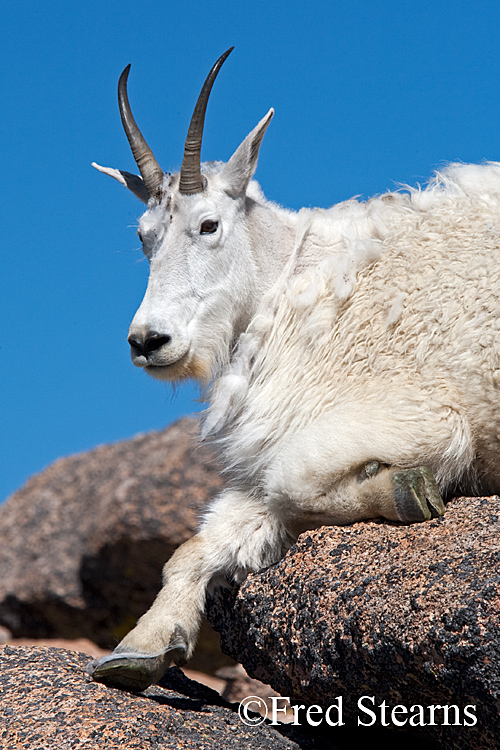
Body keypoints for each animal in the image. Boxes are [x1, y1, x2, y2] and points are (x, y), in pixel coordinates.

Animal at [92, 48, 500, 692]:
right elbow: (204, 540)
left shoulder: (427, 415)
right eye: (142, 237)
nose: (148, 341)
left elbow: (292, 480)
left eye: (209, 224)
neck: (297, 279)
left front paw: (403, 489)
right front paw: (142, 646)